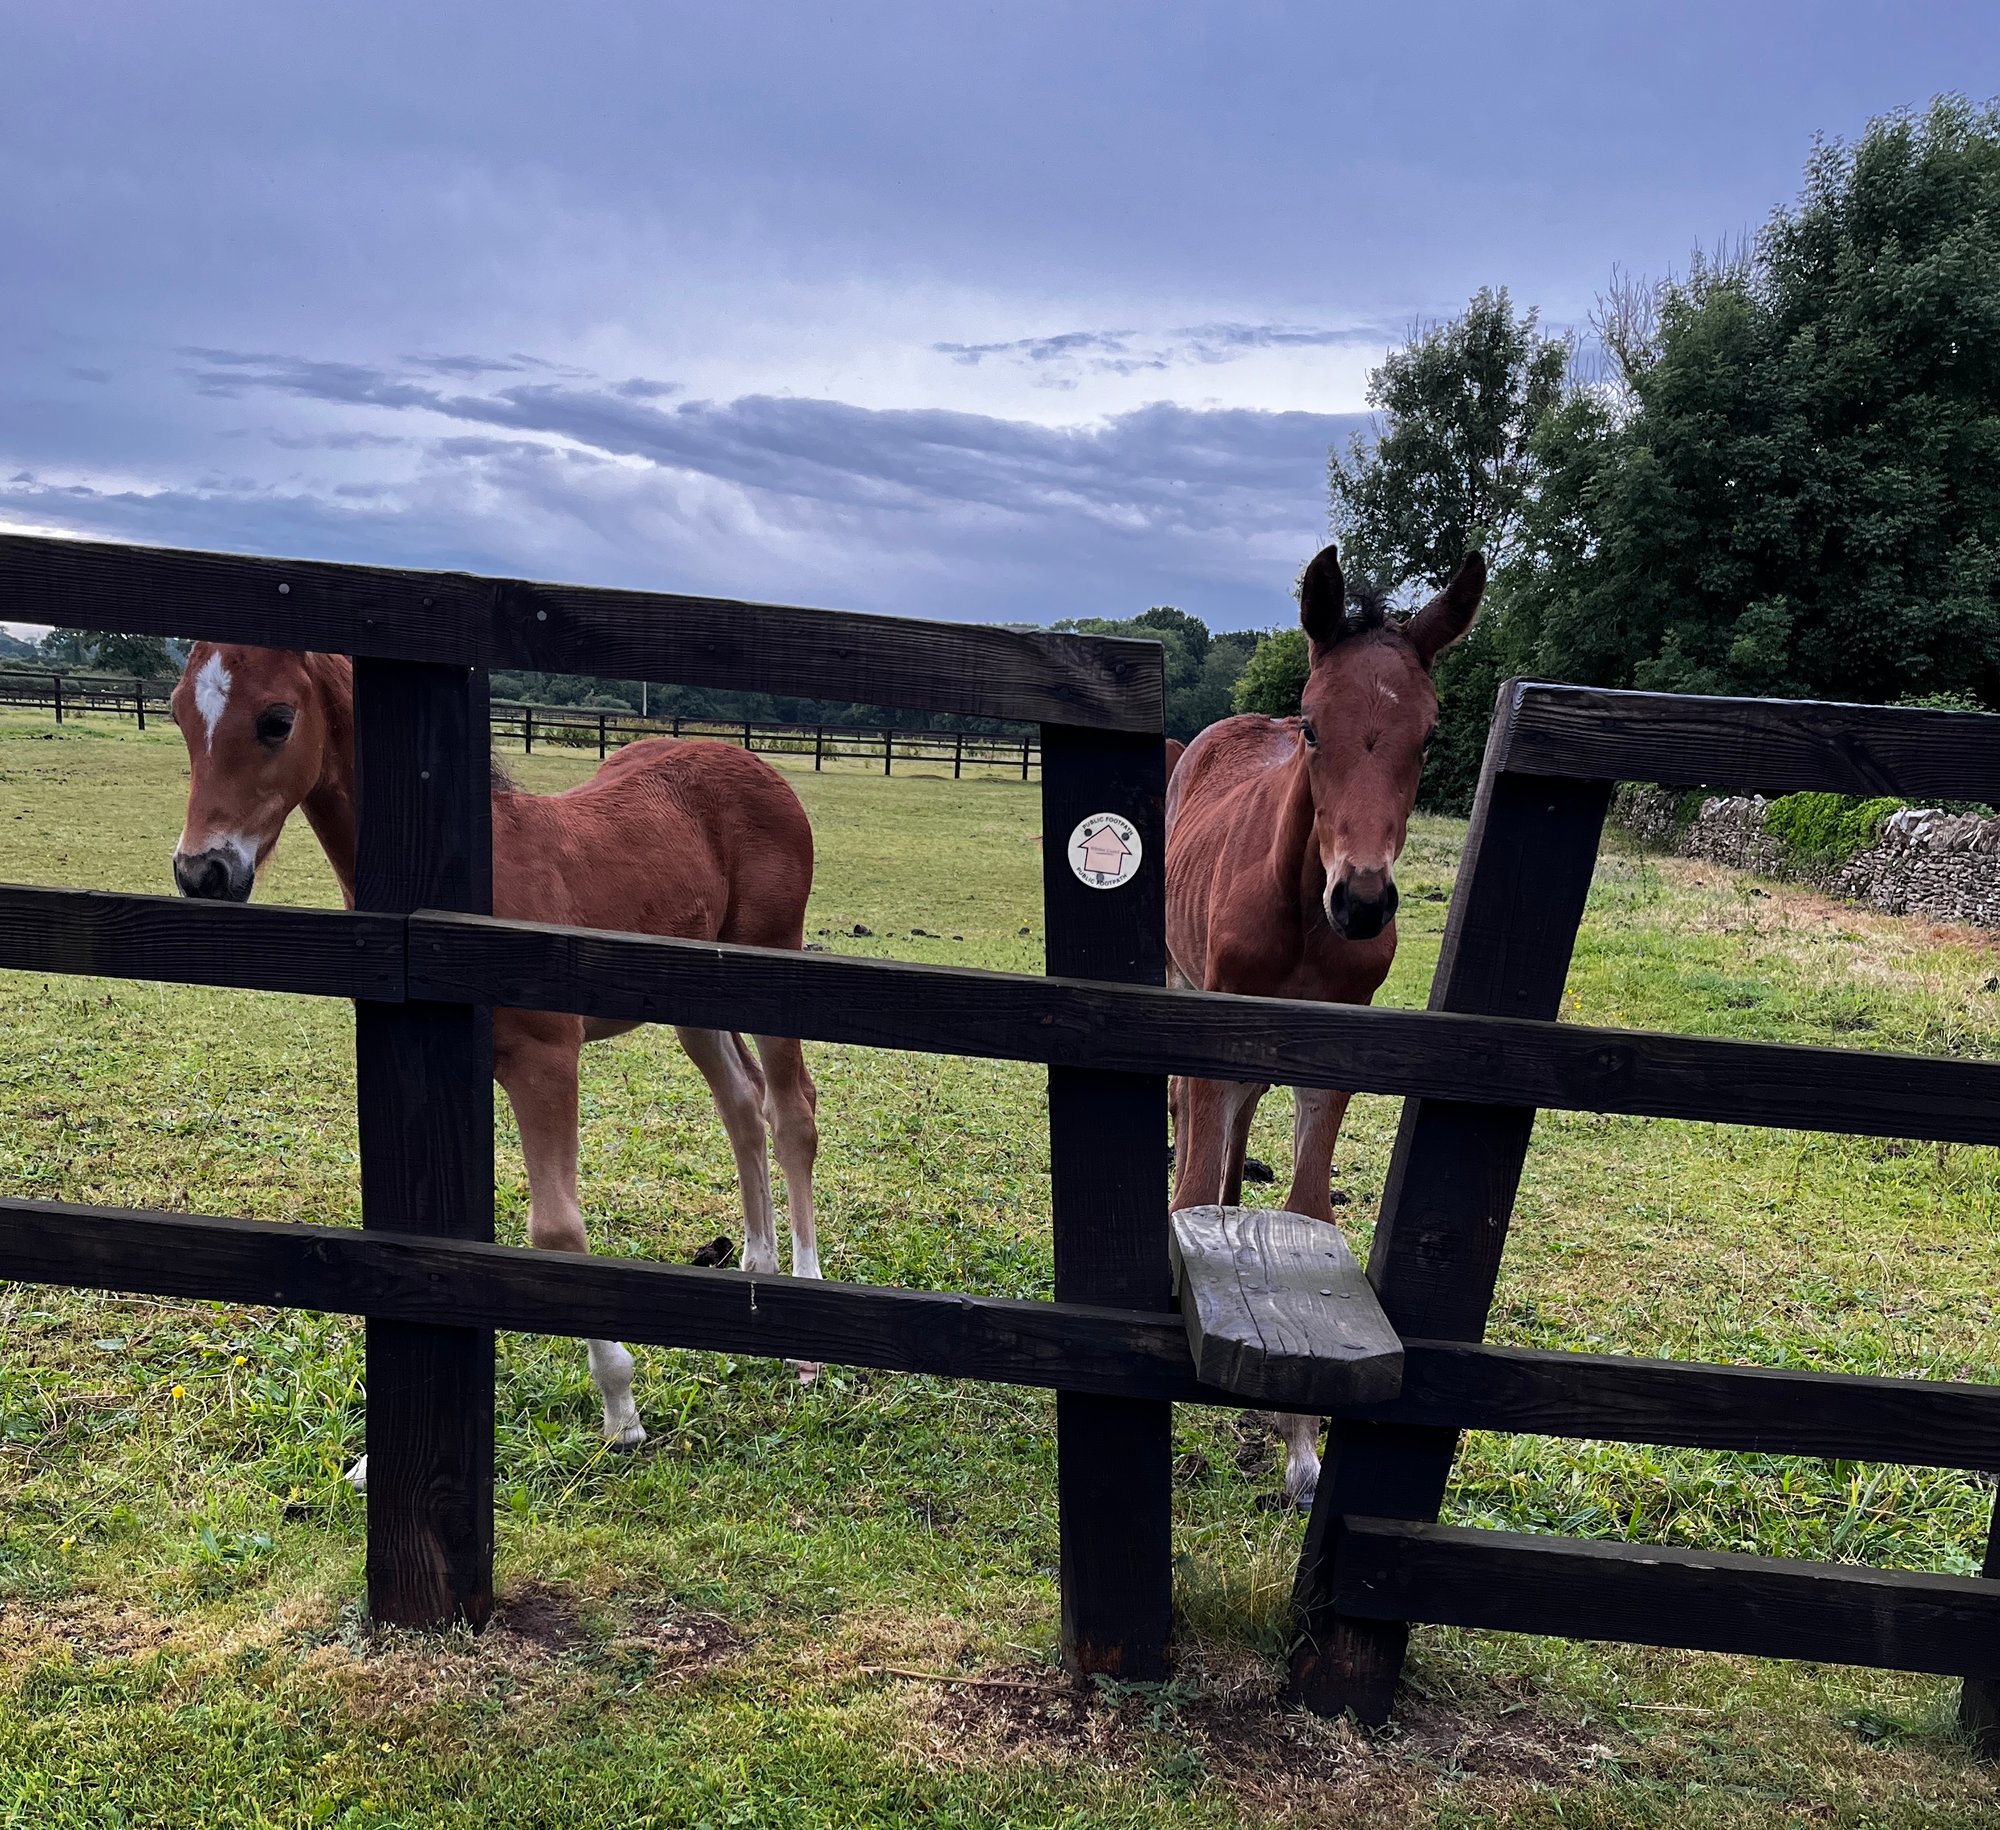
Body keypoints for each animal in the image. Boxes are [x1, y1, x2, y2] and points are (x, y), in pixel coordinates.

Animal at [167, 646, 821, 1488]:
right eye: (179, 713)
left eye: (276, 720)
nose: (202, 872)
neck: (464, 904)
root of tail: (757, 763)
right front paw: (378, 1458)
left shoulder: (547, 1060)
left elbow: (557, 1230)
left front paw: (622, 1412)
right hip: (695, 997)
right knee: (743, 1104)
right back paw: (757, 1271)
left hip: (774, 966)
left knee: (792, 1111)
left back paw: (805, 1331)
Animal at [1164, 541, 1484, 1506]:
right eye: (1313, 726)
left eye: (1429, 735)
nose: (1364, 902)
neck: (1303, 917)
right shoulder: (1214, 1019)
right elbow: (1193, 1175)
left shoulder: (1336, 1052)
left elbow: (1307, 1207)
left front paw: (1302, 1443)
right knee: (1189, 1115)